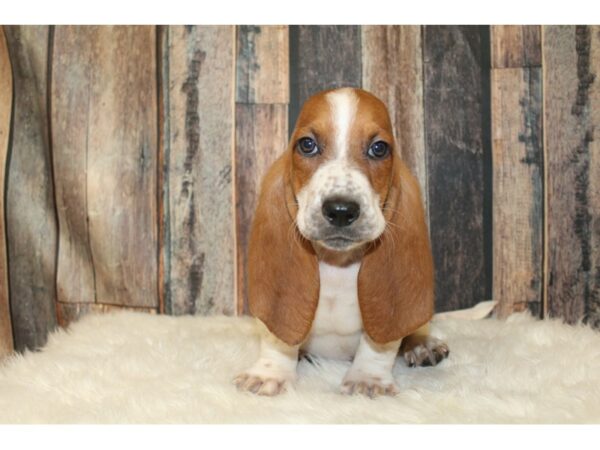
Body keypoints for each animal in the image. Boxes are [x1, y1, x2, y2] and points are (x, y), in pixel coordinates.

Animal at [234, 86, 450, 396]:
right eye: (307, 145)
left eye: (379, 148)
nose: (340, 210)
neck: (337, 264)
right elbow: (278, 340)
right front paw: (269, 373)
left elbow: (378, 344)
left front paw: (367, 378)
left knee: (416, 327)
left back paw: (423, 344)